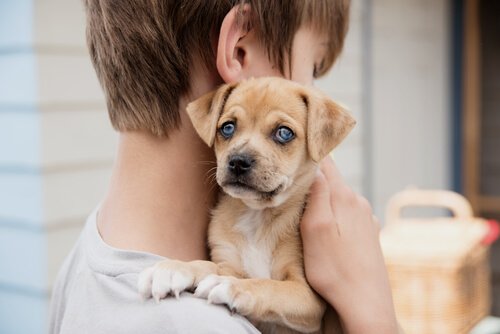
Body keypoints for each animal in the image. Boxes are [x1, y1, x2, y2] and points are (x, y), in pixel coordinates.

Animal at [137, 77, 356, 332]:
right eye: (227, 128)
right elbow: (208, 266)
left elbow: (270, 286)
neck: (257, 216)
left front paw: (232, 286)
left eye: (284, 133)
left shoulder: (308, 296)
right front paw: (175, 268)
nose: (238, 162)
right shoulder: (228, 261)